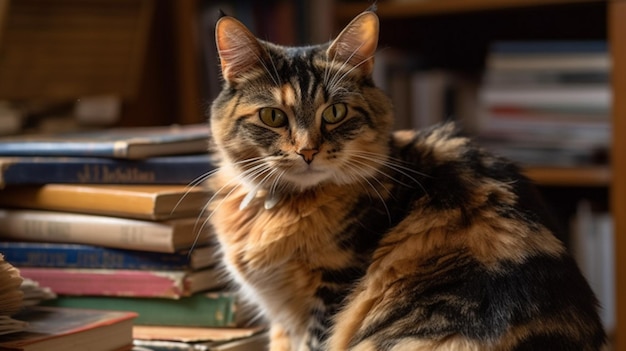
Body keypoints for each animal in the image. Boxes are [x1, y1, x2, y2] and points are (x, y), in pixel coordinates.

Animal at [205, 8, 604, 351]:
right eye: (272, 116)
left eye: (334, 112)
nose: (307, 151)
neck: (279, 206)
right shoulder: (280, 320)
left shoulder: (332, 290)